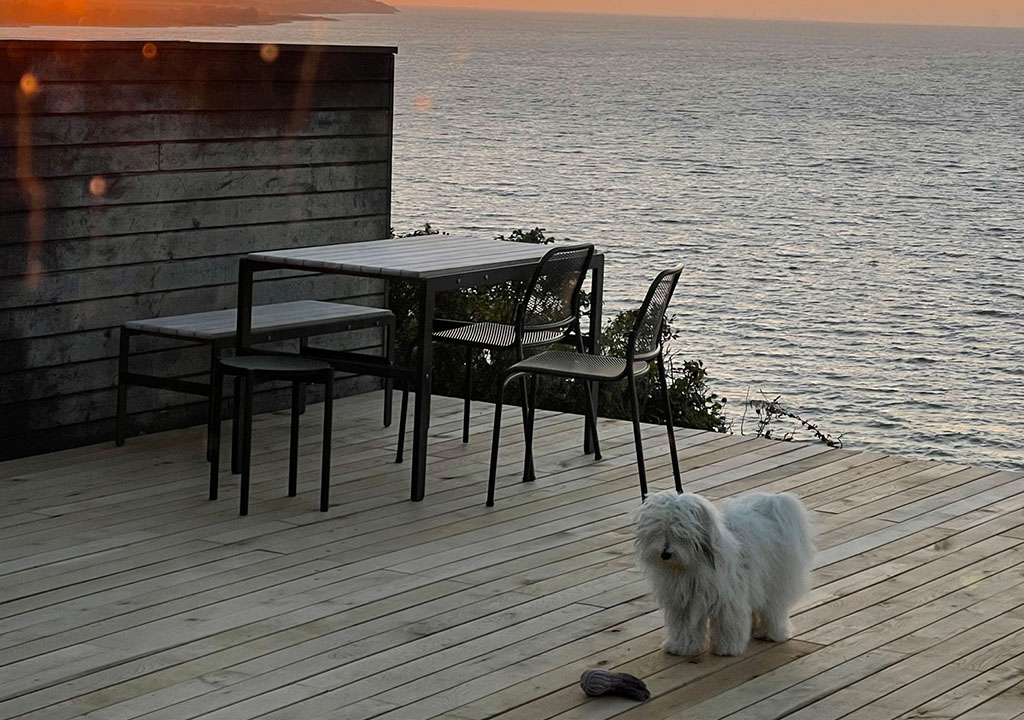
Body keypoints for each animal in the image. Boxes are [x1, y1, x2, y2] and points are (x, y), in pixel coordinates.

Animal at [634, 493, 811, 655]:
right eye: (658, 530)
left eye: (680, 533)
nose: (665, 554)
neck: (689, 567)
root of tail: (772, 505)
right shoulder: (682, 603)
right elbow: (684, 627)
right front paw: (682, 646)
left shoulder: (728, 600)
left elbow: (728, 623)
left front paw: (727, 647)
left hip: (775, 581)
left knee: (774, 608)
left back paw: (770, 633)